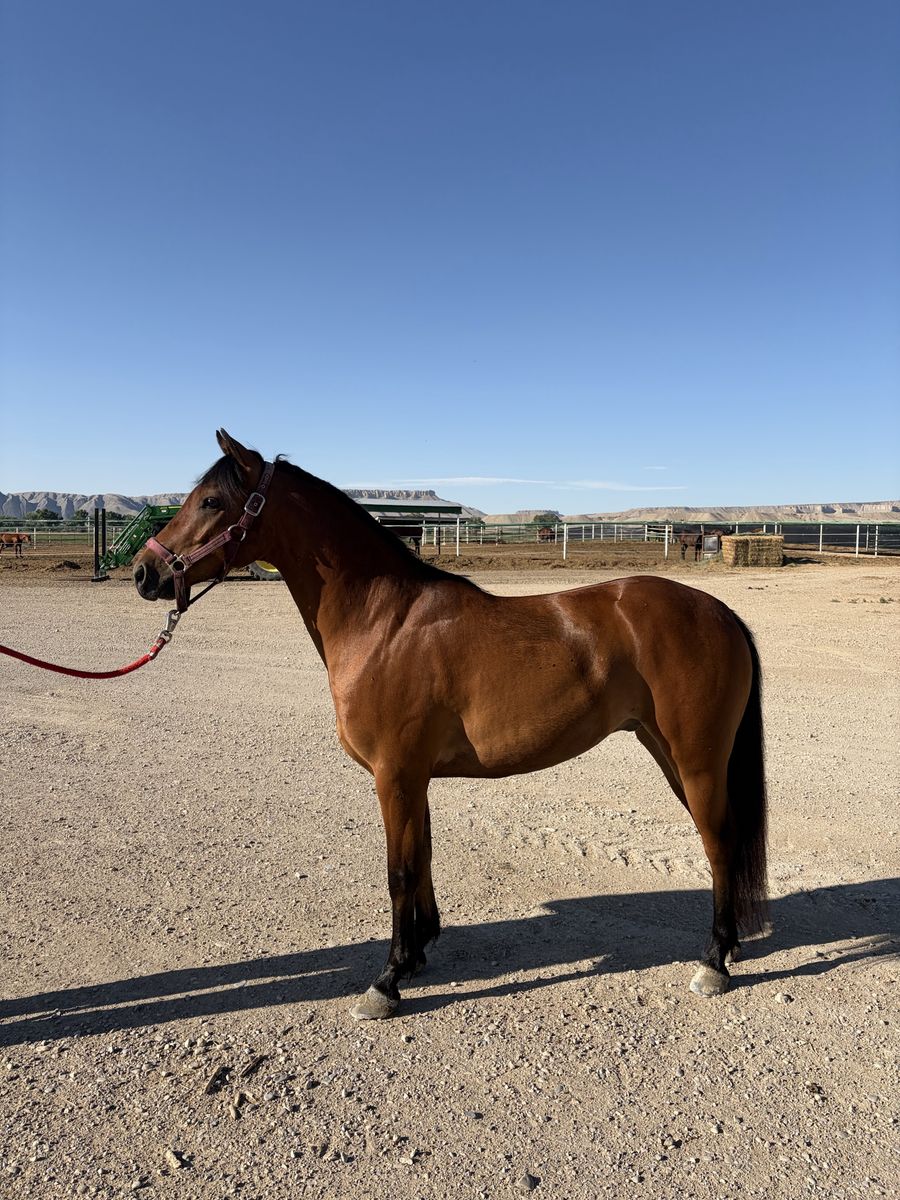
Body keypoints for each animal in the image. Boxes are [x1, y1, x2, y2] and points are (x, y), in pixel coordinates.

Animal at [132, 431, 767, 1020]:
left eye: (211, 500)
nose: (145, 571)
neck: (383, 622)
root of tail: (720, 612)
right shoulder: (414, 779)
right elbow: (424, 859)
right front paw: (415, 957)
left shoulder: (394, 776)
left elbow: (400, 871)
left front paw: (385, 983)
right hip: (668, 752)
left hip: (696, 761)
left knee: (719, 842)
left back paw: (715, 962)